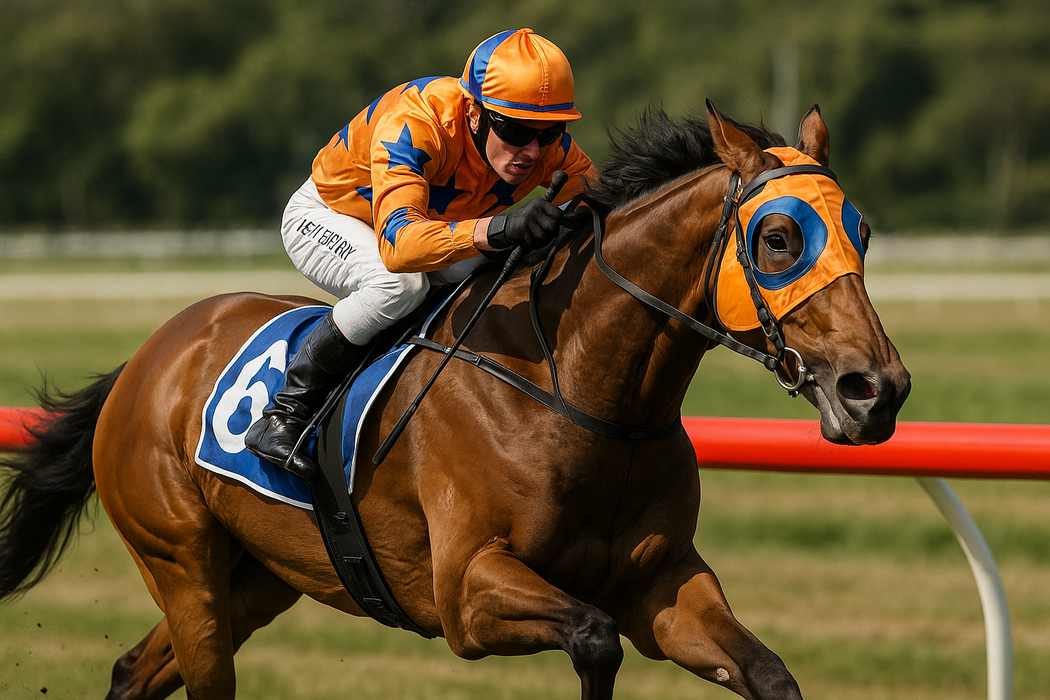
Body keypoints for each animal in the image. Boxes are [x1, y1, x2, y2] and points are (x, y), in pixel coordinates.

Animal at [0, 102, 910, 700]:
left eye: (863, 234)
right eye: (779, 238)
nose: (878, 390)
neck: (579, 391)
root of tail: (148, 357)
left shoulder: (662, 584)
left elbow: (768, 674)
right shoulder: (467, 592)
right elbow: (594, 641)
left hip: (258, 573)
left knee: (132, 672)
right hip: (180, 559)